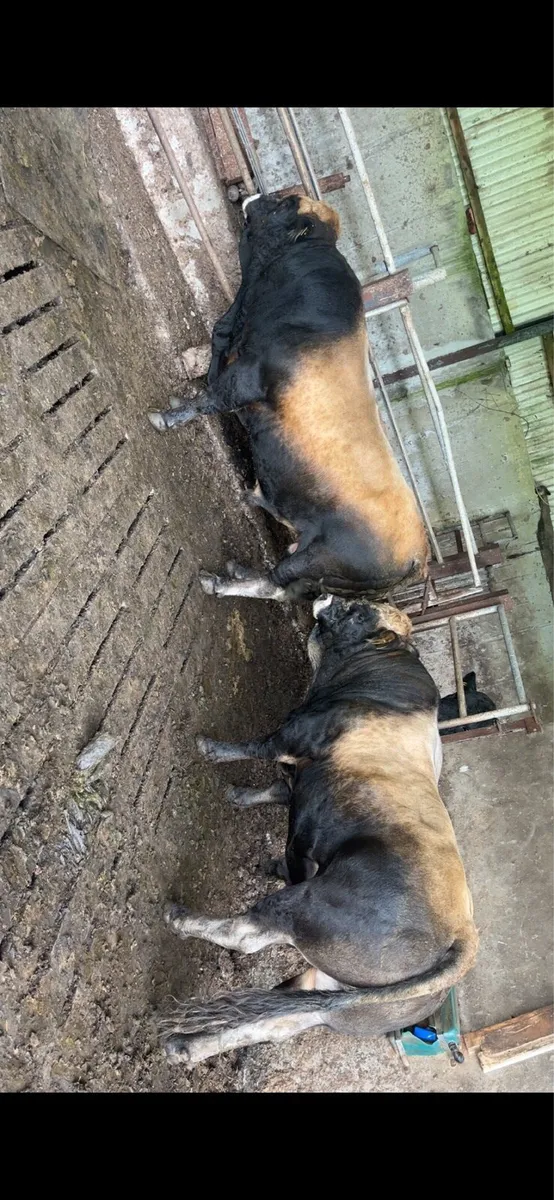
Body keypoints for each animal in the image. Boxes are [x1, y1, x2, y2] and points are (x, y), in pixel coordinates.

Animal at [149, 193, 429, 603]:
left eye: (285, 203)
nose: (250, 197)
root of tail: (418, 558)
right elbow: (217, 342)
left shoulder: (247, 377)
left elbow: (211, 398)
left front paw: (164, 417)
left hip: (319, 557)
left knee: (276, 583)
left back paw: (218, 581)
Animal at [161, 597, 478, 1067]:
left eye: (360, 614)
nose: (333, 597)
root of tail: (462, 935)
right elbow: (278, 790)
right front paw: (243, 799)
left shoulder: (295, 735)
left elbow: (257, 747)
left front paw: (211, 748)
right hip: (333, 998)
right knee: (273, 1023)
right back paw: (185, 1047)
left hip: (308, 907)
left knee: (246, 935)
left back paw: (179, 918)